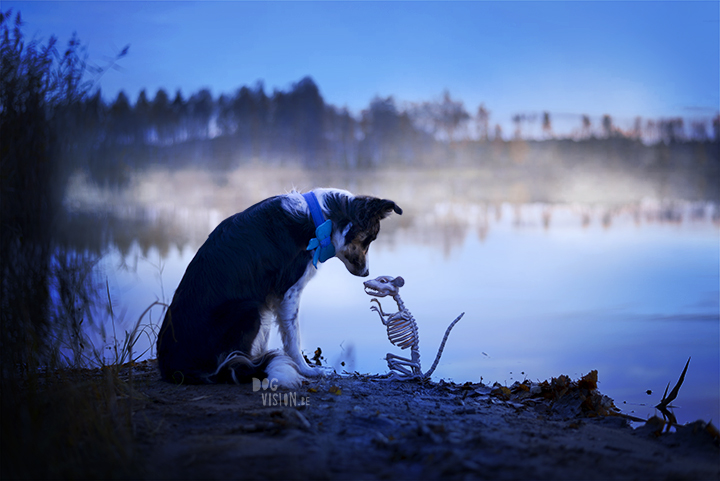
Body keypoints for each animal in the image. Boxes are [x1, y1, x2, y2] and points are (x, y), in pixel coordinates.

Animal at [156, 189, 400, 388]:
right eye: (369, 239)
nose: (366, 273)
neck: (320, 220)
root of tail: (173, 368)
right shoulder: (288, 292)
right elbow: (293, 337)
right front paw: (306, 370)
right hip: (250, 310)